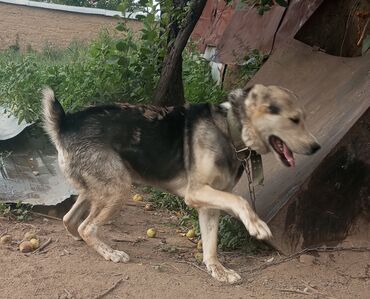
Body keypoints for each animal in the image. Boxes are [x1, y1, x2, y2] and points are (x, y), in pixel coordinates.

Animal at [42, 84, 320, 284]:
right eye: (294, 120)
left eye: (304, 118)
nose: (316, 147)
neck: (229, 129)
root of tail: (65, 123)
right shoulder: (197, 193)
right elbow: (240, 200)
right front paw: (256, 225)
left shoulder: (210, 203)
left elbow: (211, 243)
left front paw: (217, 269)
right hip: (119, 189)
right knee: (87, 226)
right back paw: (109, 252)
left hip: (100, 189)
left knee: (71, 220)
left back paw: (85, 240)